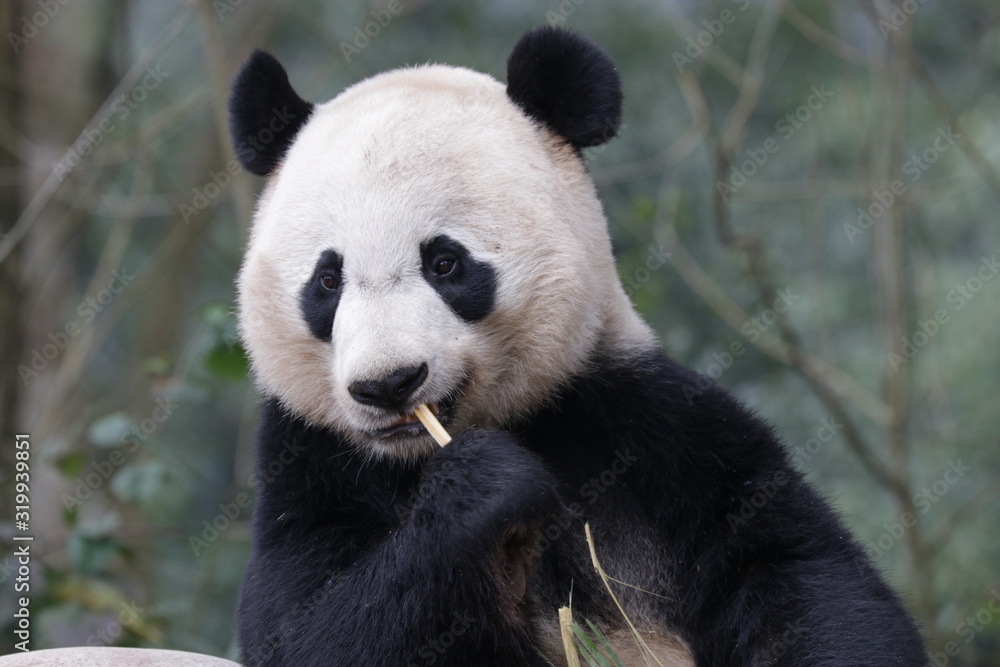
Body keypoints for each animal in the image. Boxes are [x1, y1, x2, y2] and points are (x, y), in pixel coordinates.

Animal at [229, 26, 926, 667]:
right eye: (327, 280)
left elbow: (794, 571)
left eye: (446, 263)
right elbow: (311, 633)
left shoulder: (644, 419)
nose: (388, 383)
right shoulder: (309, 463)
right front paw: (484, 487)